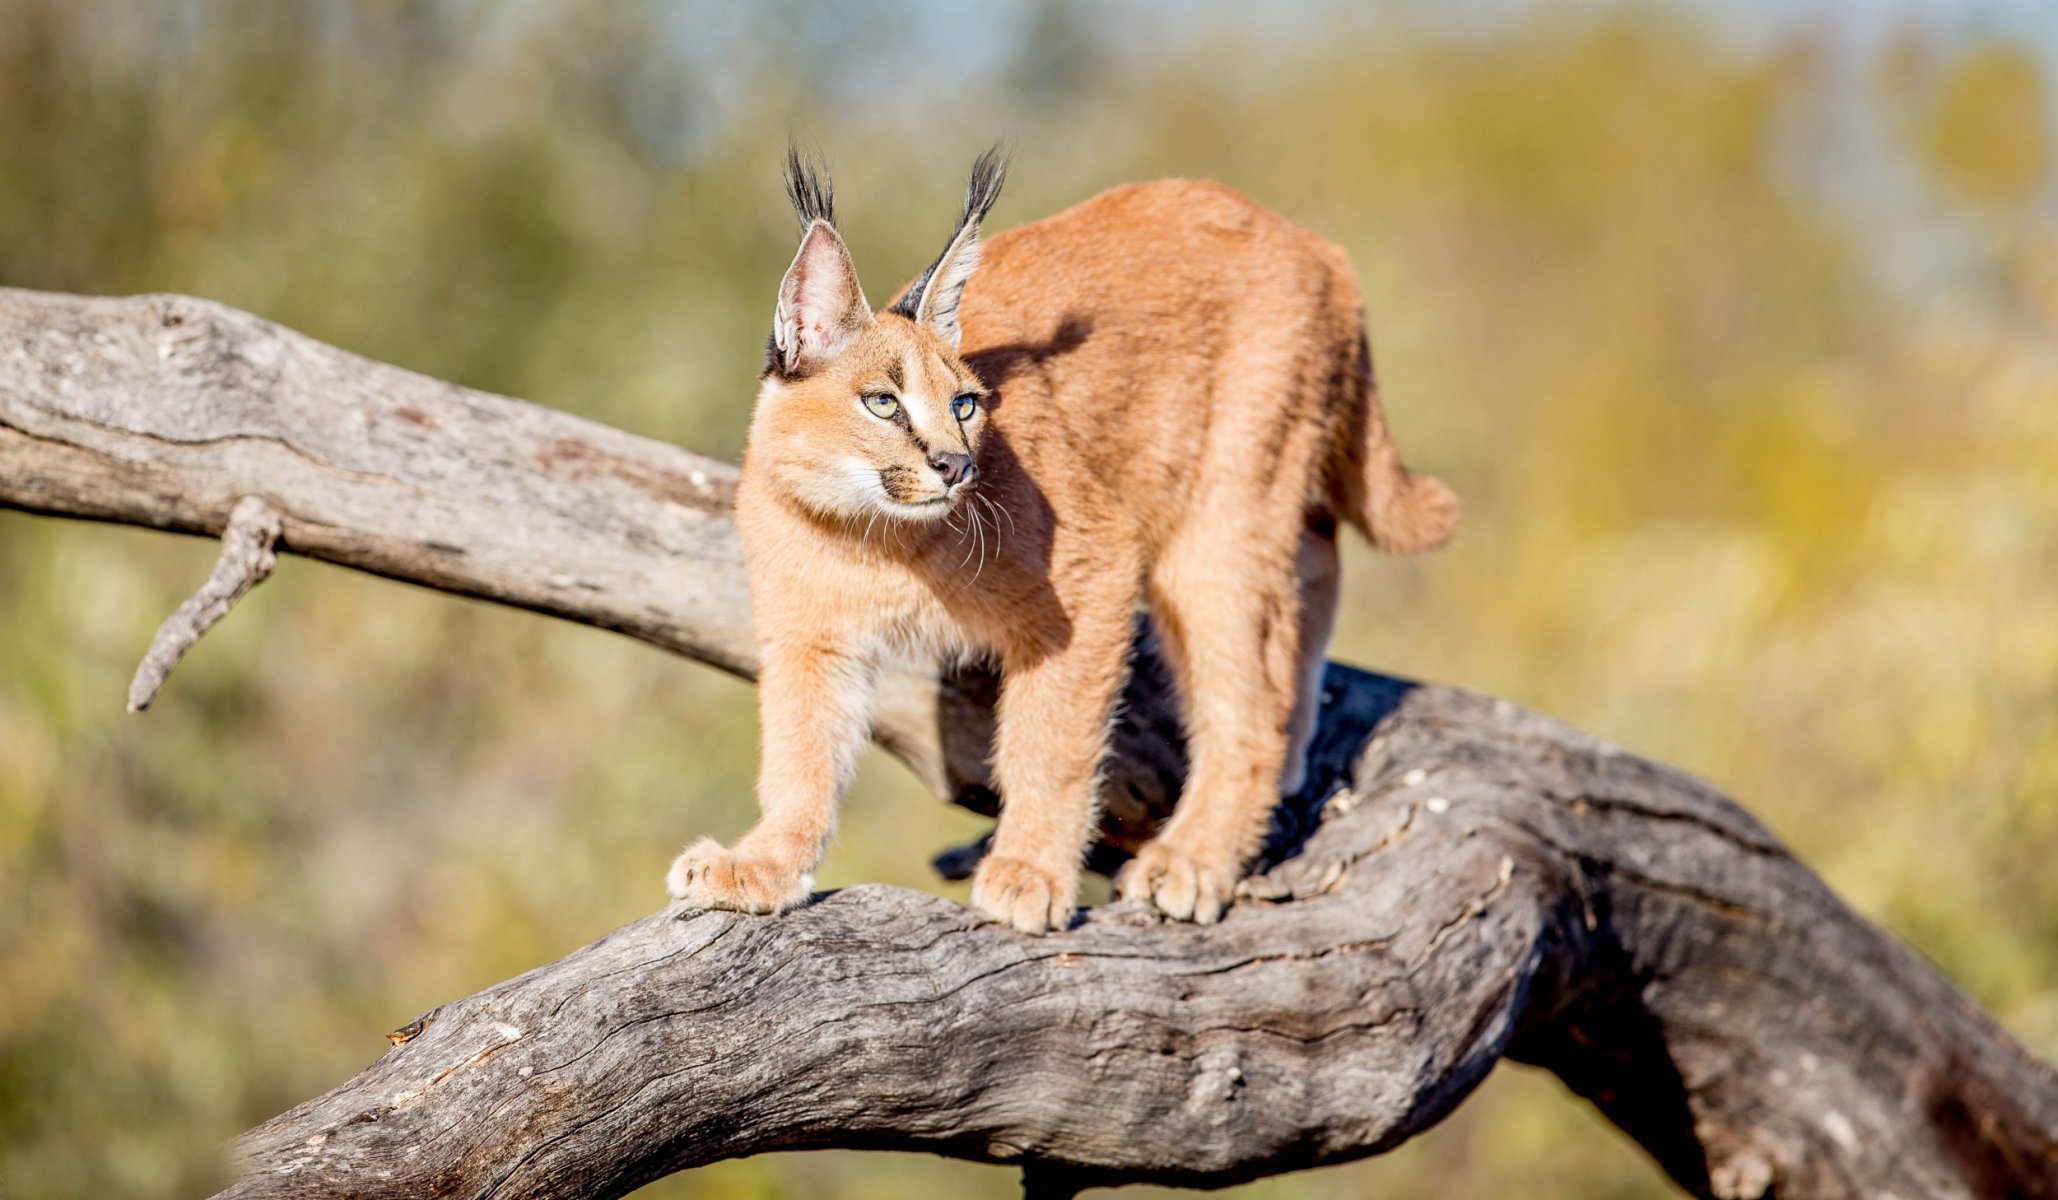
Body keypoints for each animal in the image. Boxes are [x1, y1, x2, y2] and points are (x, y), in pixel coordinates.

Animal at [666, 150, 1457, 934]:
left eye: (965, 404)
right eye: (883, 403)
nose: (956, 466)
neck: (868, 538)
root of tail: (1310, 242)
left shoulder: (1089, 576)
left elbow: (1051, 742)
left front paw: (1031, 872)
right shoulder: (808, 635)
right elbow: (799, 754)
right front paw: (764, 863)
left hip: (1218, 517)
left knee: (1249, 695)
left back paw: (1193, 857)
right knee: (1313, 566)